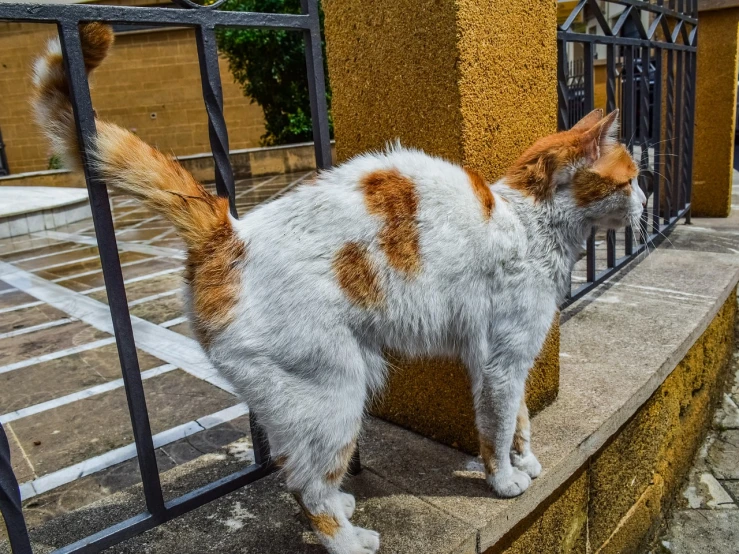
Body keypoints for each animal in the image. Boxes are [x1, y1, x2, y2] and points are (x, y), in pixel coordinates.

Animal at [33, 22, 648, 552]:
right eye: (633, 178)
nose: (646, 203)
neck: (530, 223)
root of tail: (230, 233)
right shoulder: (499, 363)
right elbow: (496, 429)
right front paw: (504, 481)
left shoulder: (508, 360)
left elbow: (519, 419)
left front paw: (526, 463)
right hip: (336, 390)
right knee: (305, 486)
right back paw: (350, 540)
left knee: (300, 473)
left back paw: (346, 510)